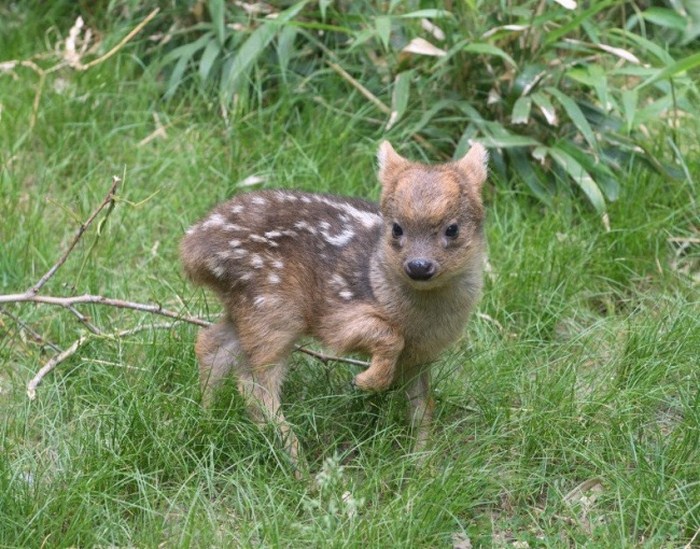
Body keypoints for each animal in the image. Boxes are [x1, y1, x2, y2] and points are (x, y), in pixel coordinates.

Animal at [180, 141, 486, 470]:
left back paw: (207, 418)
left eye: (452, 229)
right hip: (274, 306)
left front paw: (421, 464)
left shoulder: (421, 356)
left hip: (247, 307)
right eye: (396, 228)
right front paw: (366, 381)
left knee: (211, 344)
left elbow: (423, 405)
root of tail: (192, 251)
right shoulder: (337, 315)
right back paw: (299, 466)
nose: (419, 266)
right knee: (254, 384)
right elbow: (388, 336)